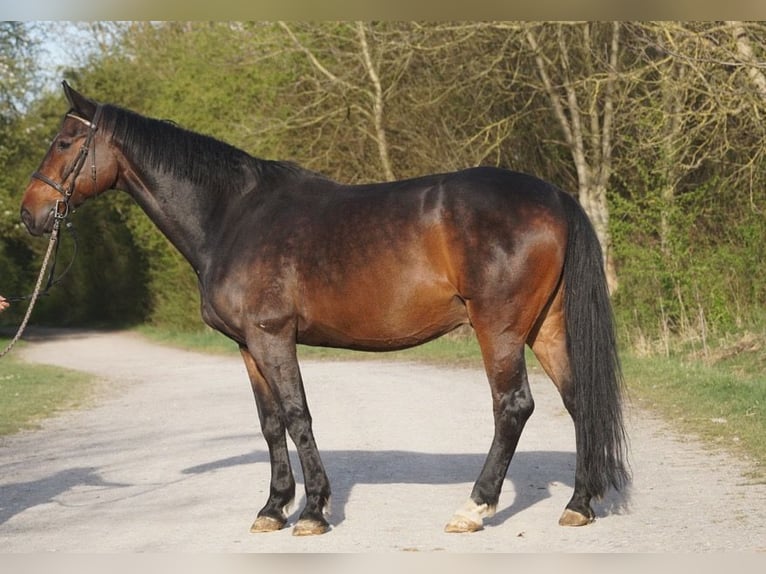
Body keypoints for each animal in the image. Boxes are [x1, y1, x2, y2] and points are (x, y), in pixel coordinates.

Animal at [20, 82, 629, 536]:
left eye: (65, 143)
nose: (29, 214)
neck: (233, 216)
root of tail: (556, 197)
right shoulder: (248, 346)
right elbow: (269, 424)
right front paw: (273, 508)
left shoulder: (273, 335)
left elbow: (297, 416)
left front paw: (312, 511)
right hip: (545, 327)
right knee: (579, 402)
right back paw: (579, 504)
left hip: (498, 328)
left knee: (513, 407)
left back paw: (473, 508)